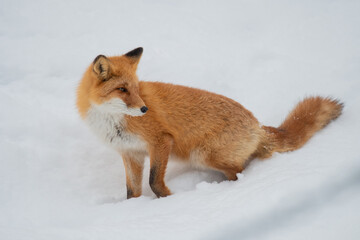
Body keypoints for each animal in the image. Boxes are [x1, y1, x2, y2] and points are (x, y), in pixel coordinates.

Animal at [76, 47, 344, 199]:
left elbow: (154, 182)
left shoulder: (161, 141)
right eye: (122, 89)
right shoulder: (130, 153)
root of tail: (257, 125)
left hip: (203, 155)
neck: (112, 121)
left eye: (136, 88)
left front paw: (169, 201)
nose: (144, 109)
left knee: (241, 171)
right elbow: (132, 191)